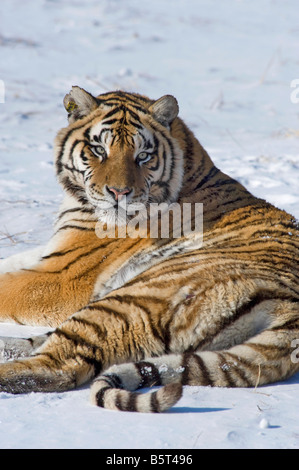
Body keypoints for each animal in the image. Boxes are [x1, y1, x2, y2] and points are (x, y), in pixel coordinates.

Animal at [0, 86, 298, 414]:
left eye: (142, 156)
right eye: (99, 150)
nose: (119, 193)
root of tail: (291, 311)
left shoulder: (62, 277)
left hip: (134, 298)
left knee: (58, 364)